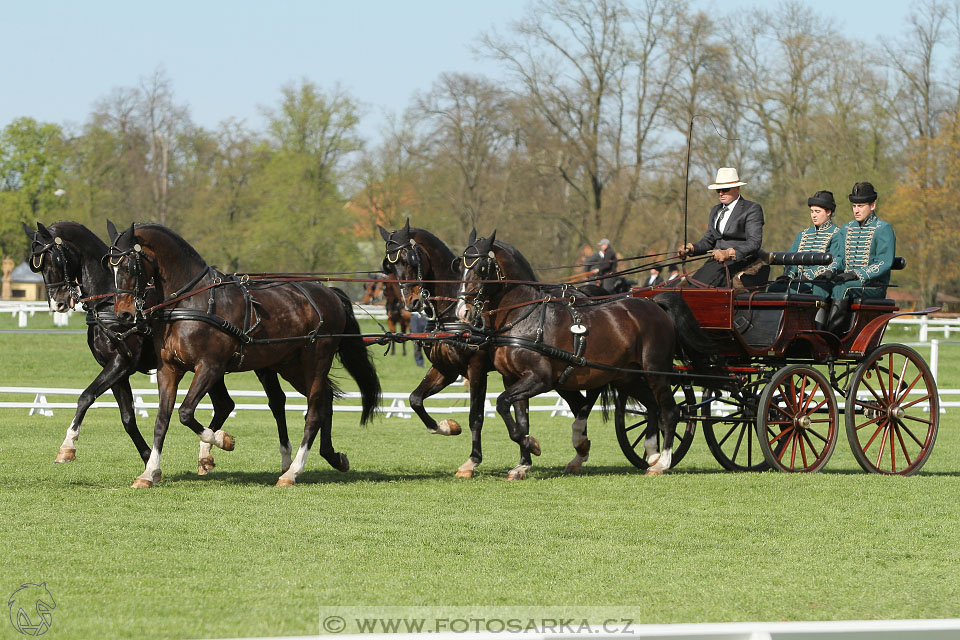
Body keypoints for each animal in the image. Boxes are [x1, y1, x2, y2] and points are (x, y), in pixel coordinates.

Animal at [22, 220, 288, 476]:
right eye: (37, 265)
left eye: (56, 259)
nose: (57, 303)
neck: (107, 302)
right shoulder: (118, 371)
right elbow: (127, 418)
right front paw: (148, 457)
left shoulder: (121, 363)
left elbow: (85, 397)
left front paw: (67, 446)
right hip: (215, 367)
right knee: (225, 404)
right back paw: (207, 454)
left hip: (258, 364)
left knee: (273, 401)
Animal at [103, 222, 376, 488]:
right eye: (110, 267)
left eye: (129, 265)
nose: (123, 314)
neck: (191, 301)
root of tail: (329, 293)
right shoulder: (168, 369)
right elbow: (162, 420)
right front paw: (149, 473)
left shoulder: (210, 367)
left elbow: (186, 412)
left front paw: (222, 441)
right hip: (291, 366)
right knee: (325, 400)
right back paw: (332, 457)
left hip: (315, 361)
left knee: (314, 412)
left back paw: (292, 472)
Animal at [452, 230, 712, 476]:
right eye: (460, 266)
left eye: (481, 267)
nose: (462, 312)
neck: (525, 317)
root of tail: (654, 304)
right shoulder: (512, 378)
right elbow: (518, 418)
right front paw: (523, 462)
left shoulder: (540, 379)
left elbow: (502, 403)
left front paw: (533, 446)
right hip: (626, 377)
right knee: (652, 407)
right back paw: (652, 454)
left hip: (656, 372)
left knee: (670, 411)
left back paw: (663, 462)